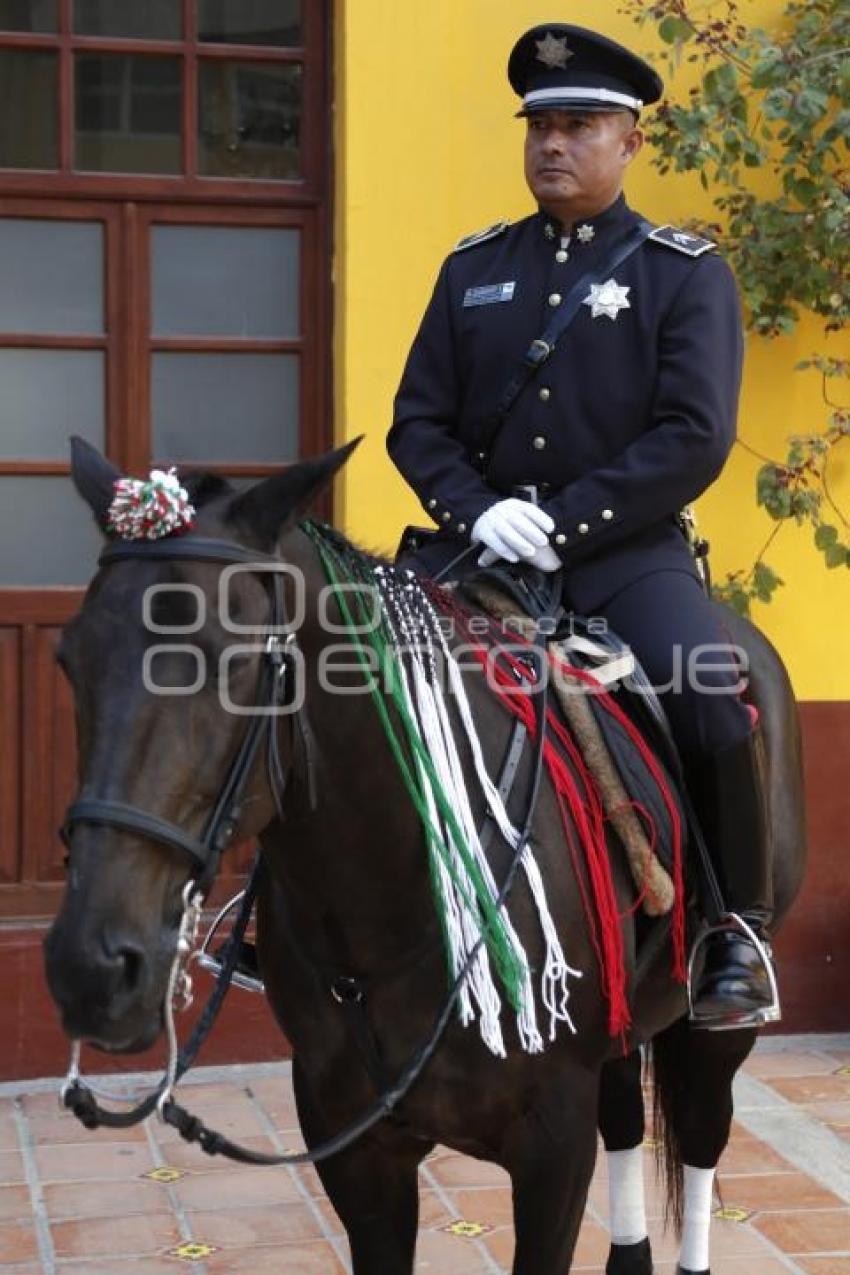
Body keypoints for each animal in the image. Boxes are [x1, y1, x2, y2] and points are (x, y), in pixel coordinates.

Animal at [44, 441, 805, 1275]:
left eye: (237, 664)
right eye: (71, 658)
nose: (92, 966)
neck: (383, 900)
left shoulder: (553, 1151)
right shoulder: (352, 1146)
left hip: (717, 1022)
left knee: (701, 1125)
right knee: (628, 1118)